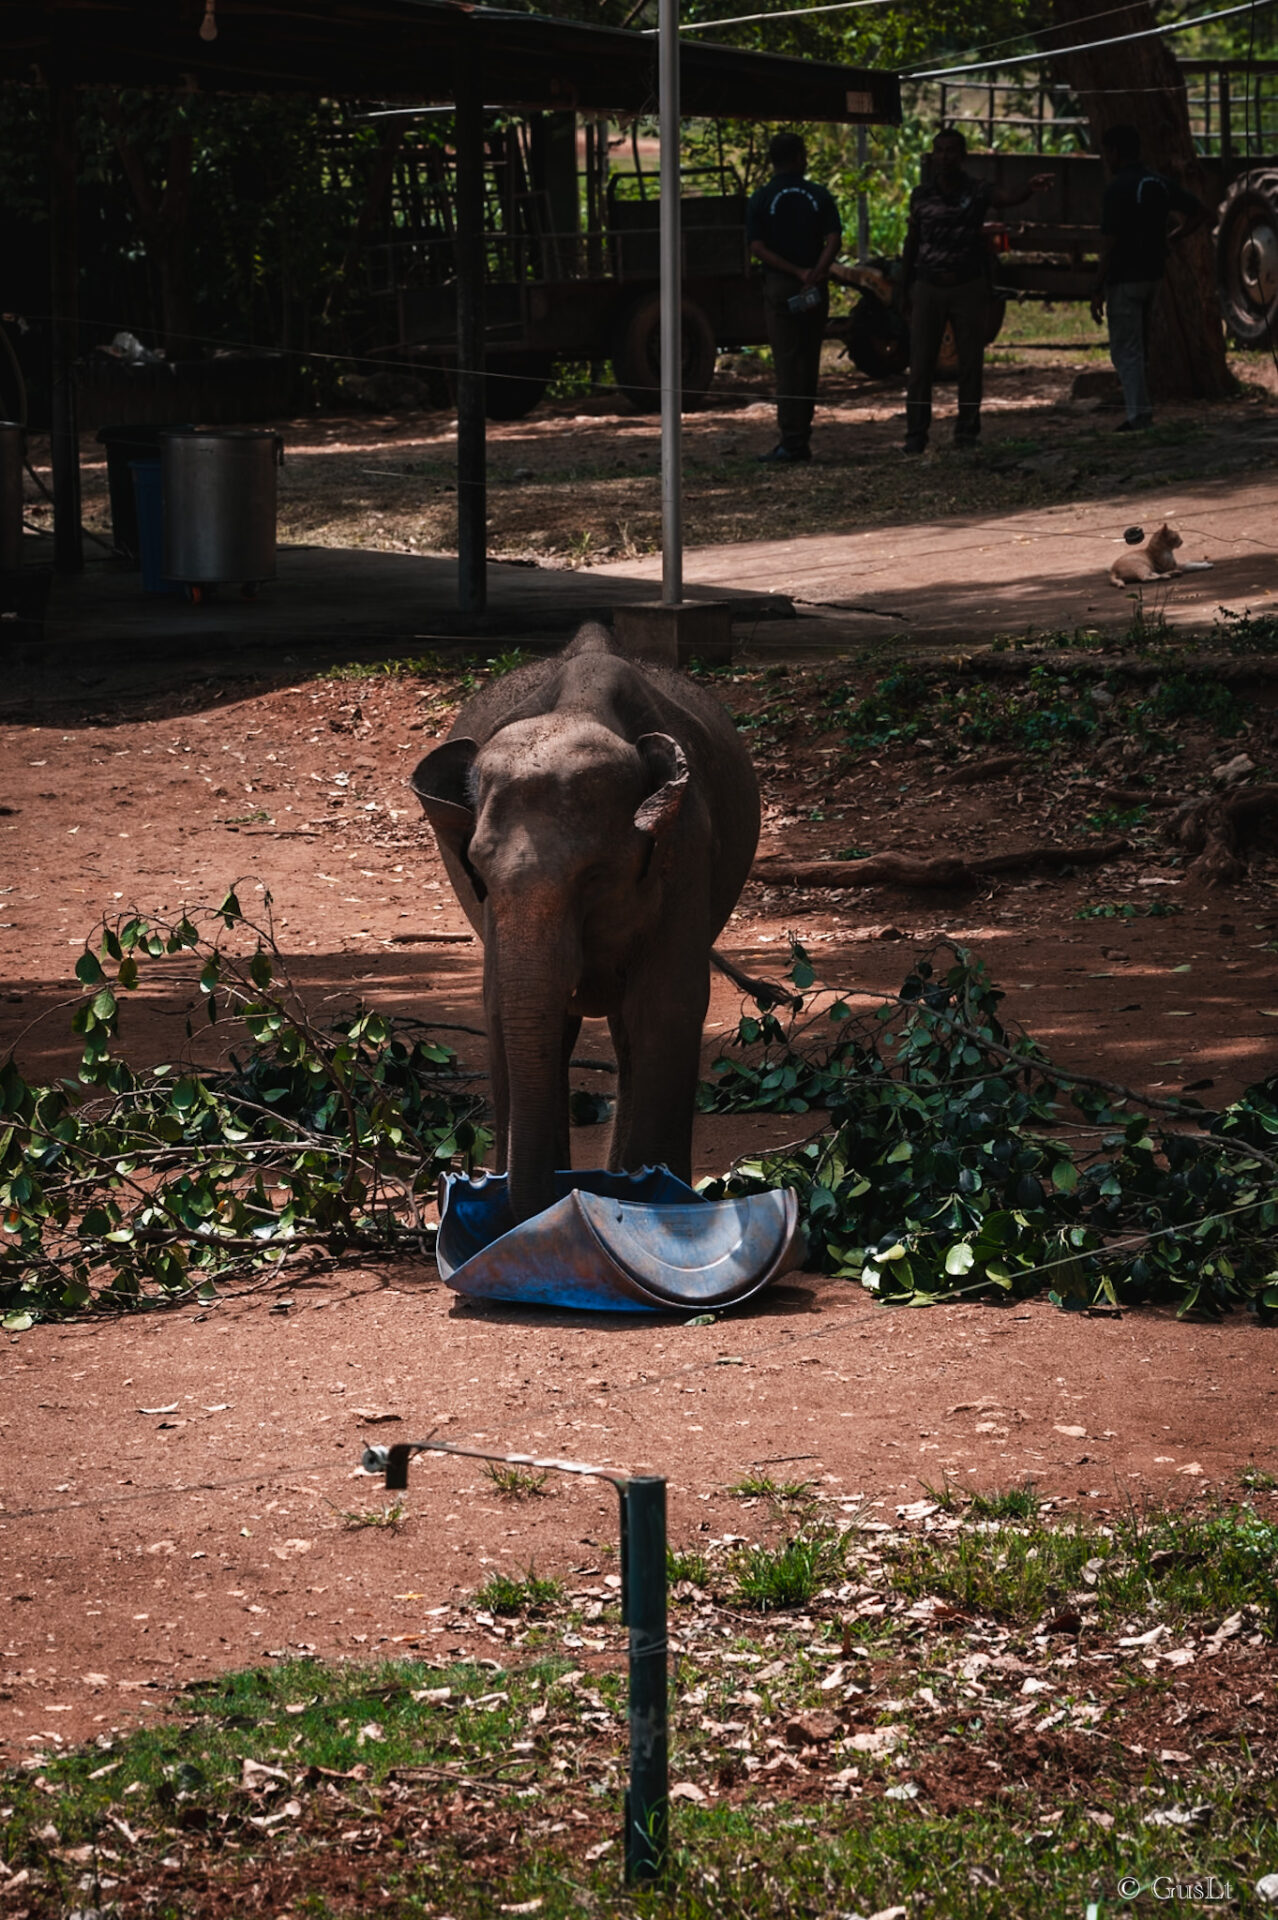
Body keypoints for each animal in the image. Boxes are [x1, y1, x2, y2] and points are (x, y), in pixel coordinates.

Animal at [410, 622, 756, 1221]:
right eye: (477, 872)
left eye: (595, 874)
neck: (579, 708)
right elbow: (502, 1004)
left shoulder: (686, 848)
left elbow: (665, 1006)